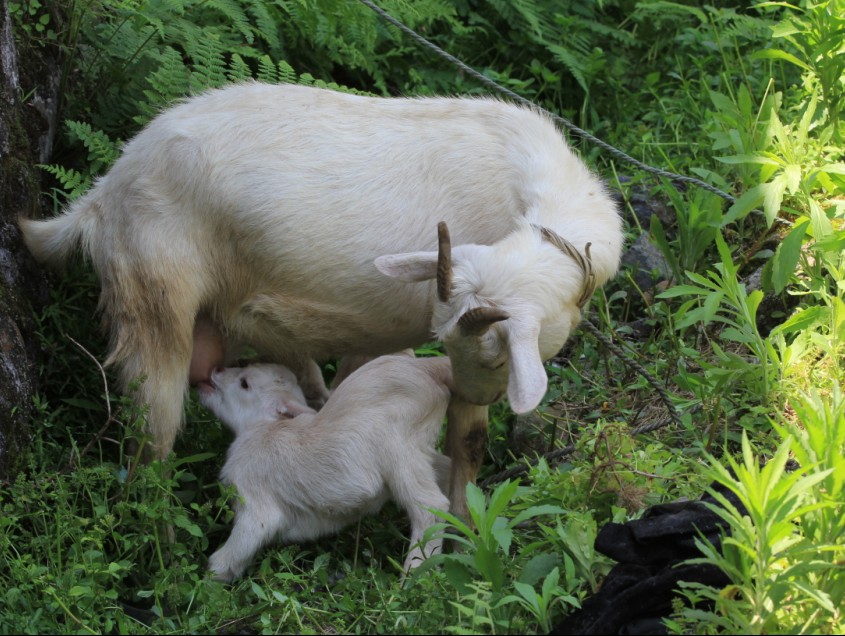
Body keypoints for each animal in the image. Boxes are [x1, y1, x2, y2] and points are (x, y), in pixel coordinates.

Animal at [19, 83, 624, 512]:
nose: (474, 391)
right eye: (492, 356)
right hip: (154, 300)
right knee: (150, 452)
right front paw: (465, 533)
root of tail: (104, 193)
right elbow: (469, 444)